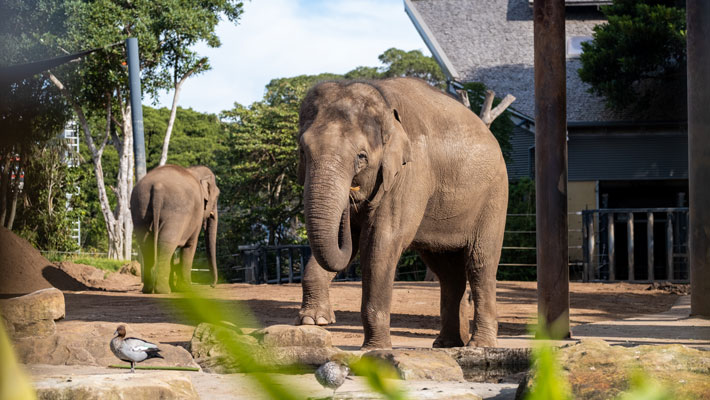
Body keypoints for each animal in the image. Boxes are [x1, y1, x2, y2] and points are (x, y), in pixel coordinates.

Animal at [131, 165, 220, 294]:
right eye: (218, 196)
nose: (212, 285)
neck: (193, 170)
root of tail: (157, 187)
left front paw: (177, 288)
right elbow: (190, 245)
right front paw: (188, 289)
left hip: (140, 208)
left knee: (148, 244)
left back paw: (149, 290)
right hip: (175, 212)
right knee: (167, 243)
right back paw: (163, 291)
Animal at [298, 76, 508, 348]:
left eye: (361, 157)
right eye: (303, 151)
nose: (351, 195)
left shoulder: (410, 173)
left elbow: (380, 242)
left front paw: (375, 349)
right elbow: (347, 241)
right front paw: (314, 321)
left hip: (494, 198)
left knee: (481, 263)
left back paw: (479, 345)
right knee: (448, 271)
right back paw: (448, 344)